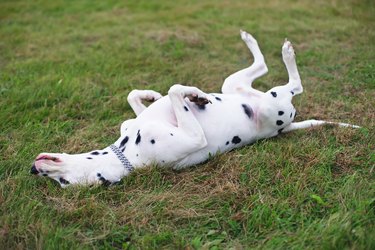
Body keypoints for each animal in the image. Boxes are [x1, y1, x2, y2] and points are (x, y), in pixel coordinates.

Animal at [29, 30, 358, 188]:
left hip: (233, 85)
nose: (34, 169)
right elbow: (176, 89)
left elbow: (137, 97)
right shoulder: (193, 138)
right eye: (63, 183)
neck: (127, 153)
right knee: (295, 85)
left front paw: (154, 95)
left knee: (262, 66)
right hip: (270, 105)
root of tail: (286, 127)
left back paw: (253, 41)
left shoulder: (133, 121)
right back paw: (287, 53)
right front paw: (192, 95)